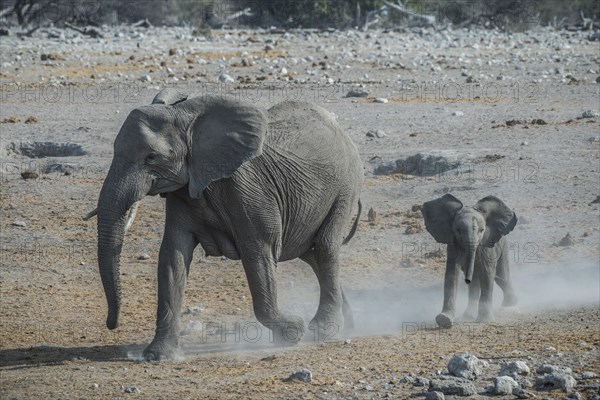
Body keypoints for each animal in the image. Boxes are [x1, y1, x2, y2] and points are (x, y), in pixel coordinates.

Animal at [88, 89, 360, 360]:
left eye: (151, 157)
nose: (112, 324)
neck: (185, 116)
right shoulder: (184, 190)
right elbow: (172, 257)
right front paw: (157, 355)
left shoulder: (250, 191)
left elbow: (258, 253)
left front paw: (294, 331)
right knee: (310, 254)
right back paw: (348, 325)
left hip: (345, 186)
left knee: (324, 248)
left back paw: (321, 330)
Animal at [422, 194, 516, 328]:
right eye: (457, 230)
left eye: (482, 230)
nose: (467, 280)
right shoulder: (453, 245)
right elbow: (451, 275)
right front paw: (444, 320)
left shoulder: (486, 248)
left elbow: (487, 274)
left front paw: (485, 320)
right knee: (478, 281)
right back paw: (468, 316)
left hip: (503, 245)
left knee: (501, 277)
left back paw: (510, 307)